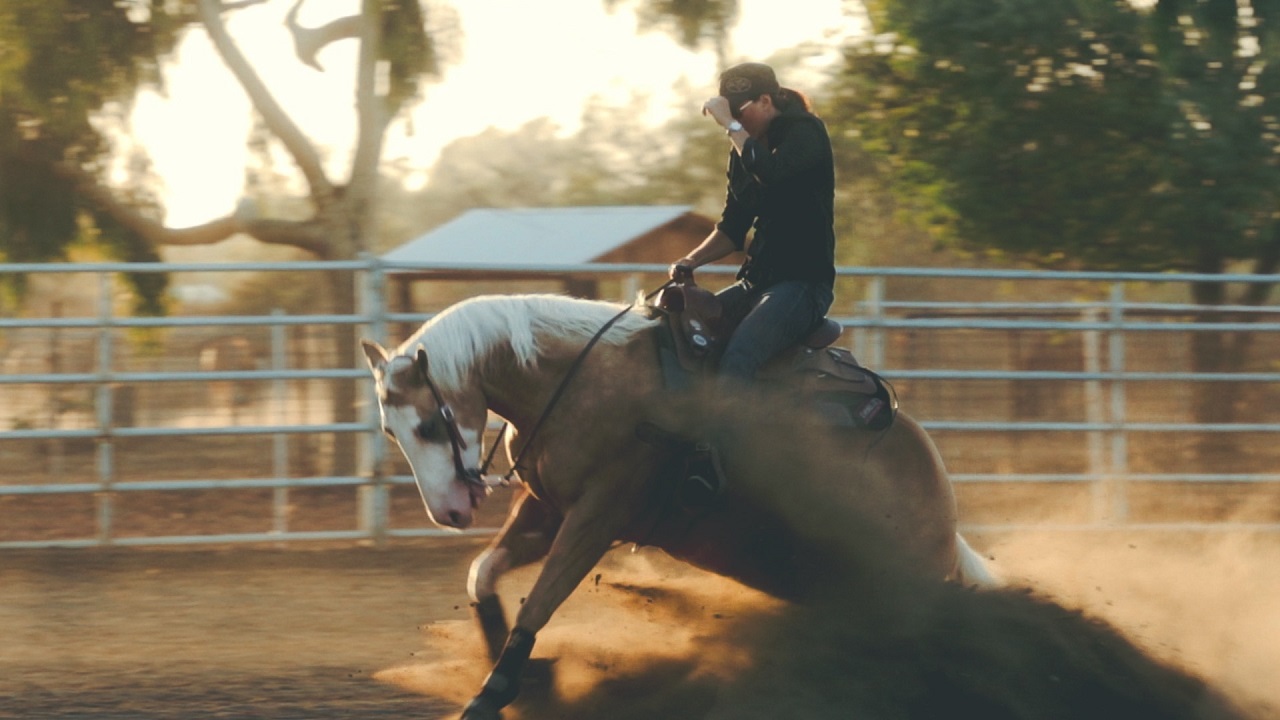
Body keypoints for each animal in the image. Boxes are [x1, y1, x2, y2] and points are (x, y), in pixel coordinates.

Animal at [363, 292, 998, 717]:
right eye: (390, 431)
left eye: (426, 424)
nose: (448, 513)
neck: (576, 381)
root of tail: (943, 505)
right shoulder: (547, 510)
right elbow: (483, 573)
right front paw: (529, 678)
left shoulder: (598, 516)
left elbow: (538, 603)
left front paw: (493, 694)